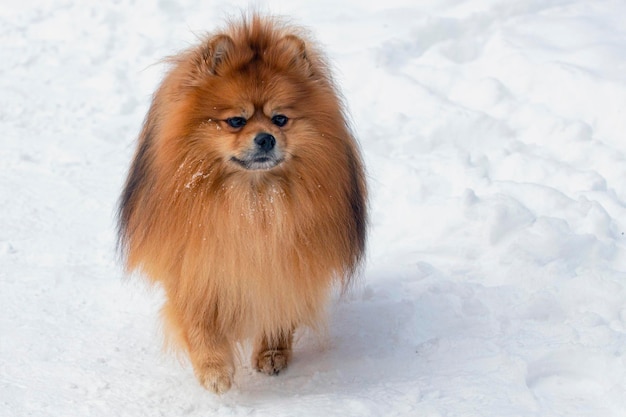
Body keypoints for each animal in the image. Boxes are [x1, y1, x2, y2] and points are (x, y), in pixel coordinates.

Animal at [117, 12, 366, 390]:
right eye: (236, 121)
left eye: (280, 119)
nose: (265, 138)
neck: (253, 202)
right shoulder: (195, 265)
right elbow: (199, 321)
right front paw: (214, 368)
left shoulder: (289, 263)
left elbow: (280, 306)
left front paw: (272, 352)